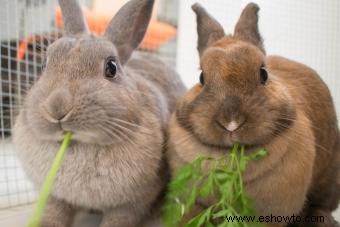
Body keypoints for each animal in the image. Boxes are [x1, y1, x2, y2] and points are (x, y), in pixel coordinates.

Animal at [12, 0, 186, 227]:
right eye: (44, 65)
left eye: (111, 67)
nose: (57, 108)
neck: (80, 145)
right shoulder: (55, 196)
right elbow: (54, 213)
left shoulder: (133, 203)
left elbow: (119, 219)